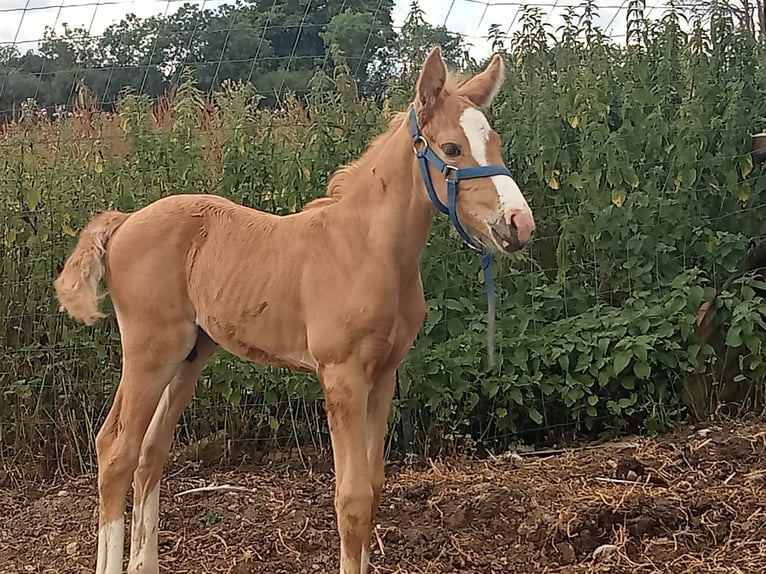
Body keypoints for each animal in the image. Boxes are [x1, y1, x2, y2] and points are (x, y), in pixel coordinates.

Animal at [54, 46, 535, 574]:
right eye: (451, 149)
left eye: (495, 142)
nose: (520, 224)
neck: (366, 249)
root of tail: (122, 223)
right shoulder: (341, 376)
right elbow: (352, 497)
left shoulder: (384, 376)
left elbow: (374, 486)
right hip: (149, 351)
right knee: (115, 449)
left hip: (189, 355)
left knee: (150, 451)